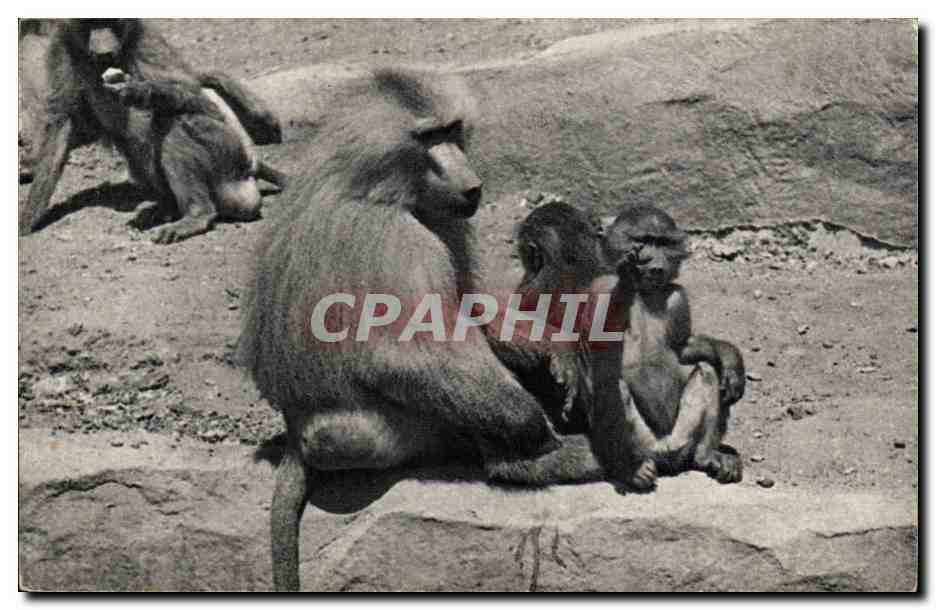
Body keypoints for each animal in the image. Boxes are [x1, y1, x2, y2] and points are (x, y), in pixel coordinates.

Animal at [19, 19, 286, 240]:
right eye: (90, 25)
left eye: (110, 22)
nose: (105, 52)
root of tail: (248, 169)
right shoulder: (62, 51)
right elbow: (61, 124)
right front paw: (26, 220)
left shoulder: (146, 40)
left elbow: (196, 95)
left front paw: (140, 91)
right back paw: (167, 209)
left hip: (228, 148)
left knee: (174, 120)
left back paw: (196, 216)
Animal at [237, 68, 649, 591]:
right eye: (427, 138)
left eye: (452, 131)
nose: (472, 187)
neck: (368, 183)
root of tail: (296, 433)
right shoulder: (403, 238)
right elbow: (400, 355)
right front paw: (538, 433)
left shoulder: (441, 218)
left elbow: (467, 302)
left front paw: (553, 348)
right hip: (377, 436)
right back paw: (533, 461)